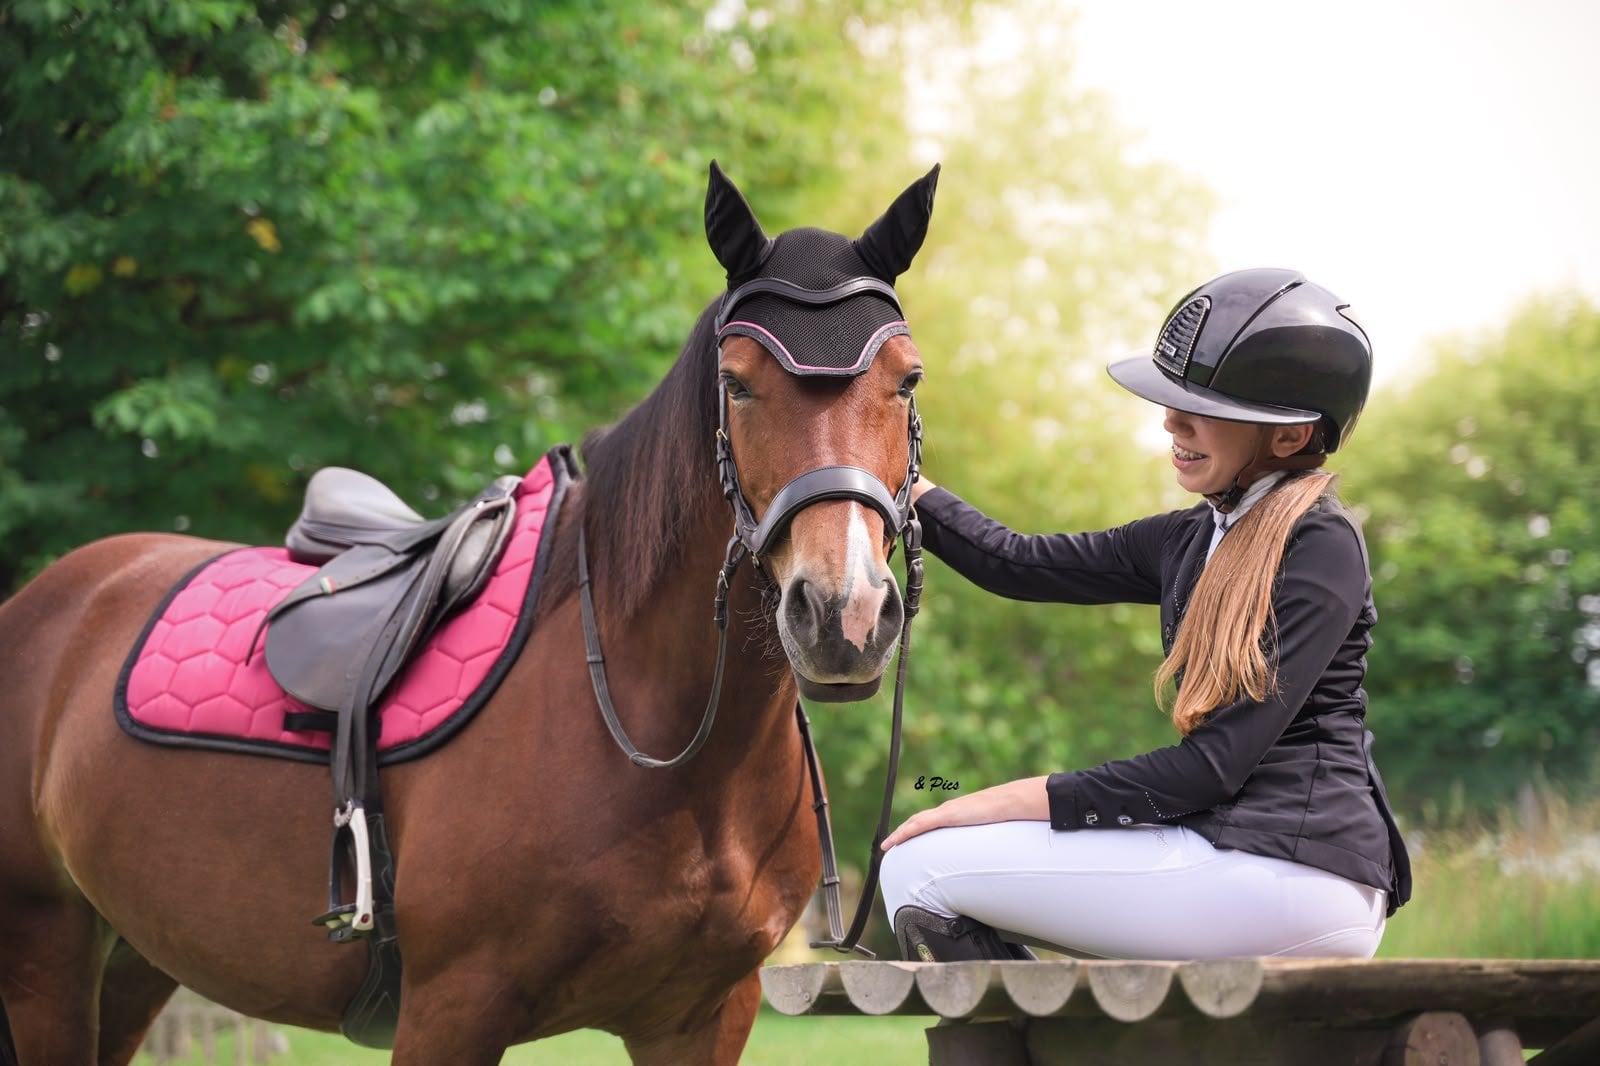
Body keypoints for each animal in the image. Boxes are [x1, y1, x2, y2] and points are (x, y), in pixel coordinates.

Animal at [0, 160, 940, 1065]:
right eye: (737, 387)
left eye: (906, 381)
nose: (845, 615)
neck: (659, 739)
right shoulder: (453, 1008)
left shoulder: (703, 1018)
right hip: (47, 950)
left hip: (134, 957)